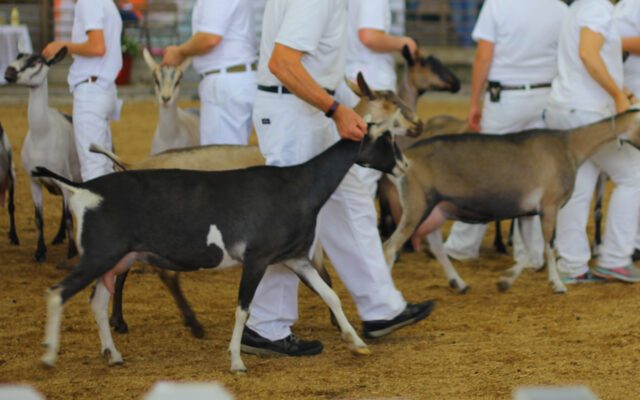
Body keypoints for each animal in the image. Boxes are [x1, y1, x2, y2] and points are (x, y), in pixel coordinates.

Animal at [4, 48, 80, 261]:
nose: (8, 72)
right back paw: (58, 237)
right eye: (17, 57)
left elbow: (69, 218)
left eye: (36, 62)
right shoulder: (34, 182)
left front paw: (72, 252)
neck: (42, 133)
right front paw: (40, 252)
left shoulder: (64, 179)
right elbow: (39, 219)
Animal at [34, 111, 408, 374]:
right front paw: (236, 361)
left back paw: (113, 355)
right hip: (100, 254)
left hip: (117, 259)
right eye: (386, 139)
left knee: (97, 301)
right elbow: (243, 309)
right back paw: (50, 357)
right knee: (56, 293)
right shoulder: (257, 258)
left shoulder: (295, 258)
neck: (297, 186)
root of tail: (83, 189)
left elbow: (331, 295)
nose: (405, 165)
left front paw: (356, 342)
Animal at [93, 72, 423, 338]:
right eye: (393, 101)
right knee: (143, 273)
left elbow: (323, 276)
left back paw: (120, 321)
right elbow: (322, 275)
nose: (419, 124)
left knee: (122, 271)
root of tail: (131, 165)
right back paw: (165, 323)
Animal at [382, 109, 640, 295]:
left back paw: (460, 283)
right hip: (416, 206)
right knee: (390, 247)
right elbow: (549, 246)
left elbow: (529, 251)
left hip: (436, 209)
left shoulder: (526, 212)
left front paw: (505, 281)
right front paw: (557, 285)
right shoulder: (550, 206)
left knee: (435, 246)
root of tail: (404, 159)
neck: (569, 146)